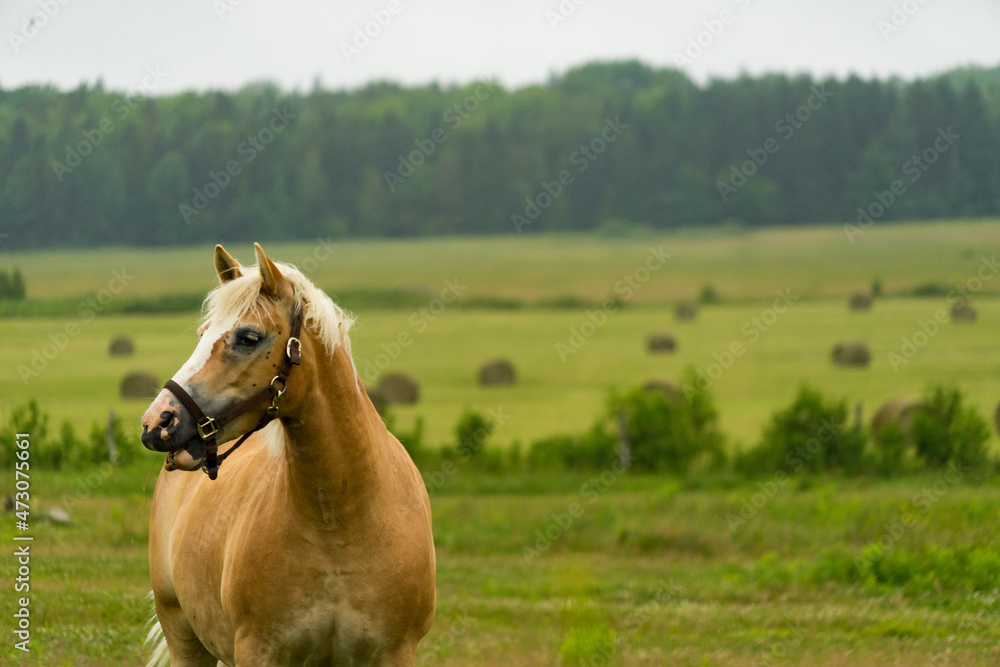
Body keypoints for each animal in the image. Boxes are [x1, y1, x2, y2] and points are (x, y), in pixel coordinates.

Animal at [140, 243, 435, 666]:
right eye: (201, 333)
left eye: (248, 337)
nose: (157, 422)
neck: (339, 527)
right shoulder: (257, 651)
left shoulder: (396, 653)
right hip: (184, 639)